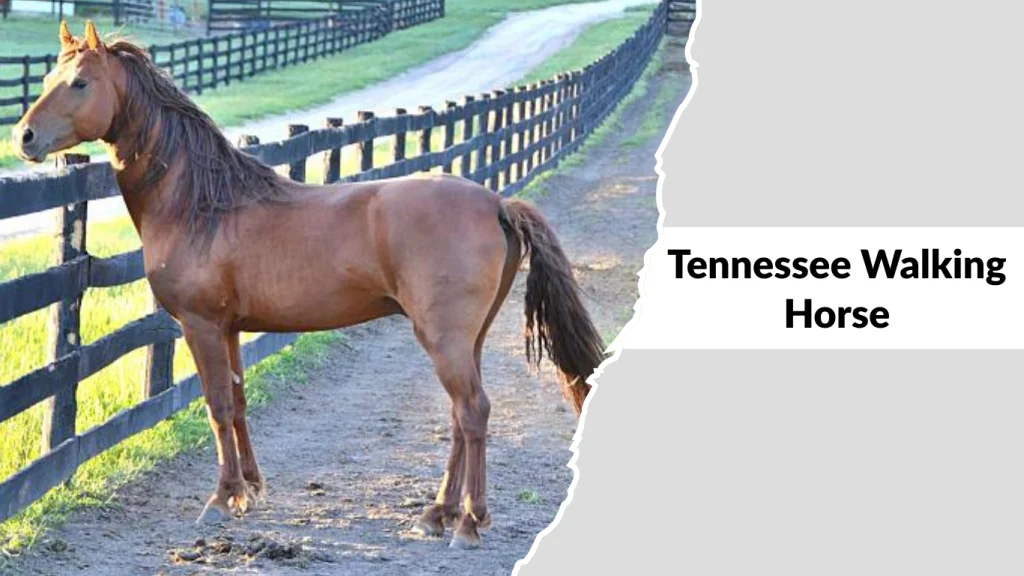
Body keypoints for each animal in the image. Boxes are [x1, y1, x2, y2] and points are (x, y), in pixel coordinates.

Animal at [11, 21, 606, 549]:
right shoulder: (230, 328)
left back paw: (467, 523)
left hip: (445, 339)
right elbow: (239, 401)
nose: (24, 138)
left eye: (80, 83)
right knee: (461, 418)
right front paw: (250, 490)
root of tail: (496, 203)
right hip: (467, 340)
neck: (203, 205)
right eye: (47, 80)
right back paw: (436, 515)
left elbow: (216, 405)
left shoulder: (201, 325)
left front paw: (221, 498)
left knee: (474, 412)